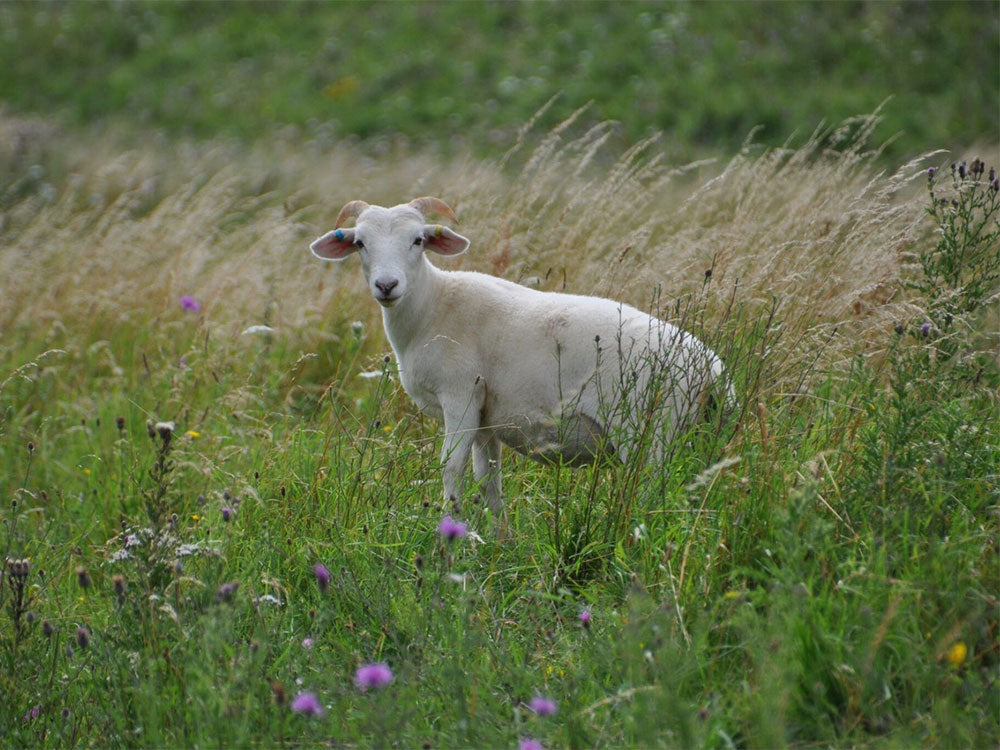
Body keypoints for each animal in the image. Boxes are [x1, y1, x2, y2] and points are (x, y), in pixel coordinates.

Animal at [310, 197, 731, 524]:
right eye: (360, 243)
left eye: (418, 240)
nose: (387, 286)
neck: (432, 307)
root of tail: (712, 369)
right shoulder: (485, 415)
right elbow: (487, 479)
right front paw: (499, 542)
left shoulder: (460, 395)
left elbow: (451, 467)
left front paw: (448, 535)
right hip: (697, 436)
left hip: (653, 435)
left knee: (654, 493)